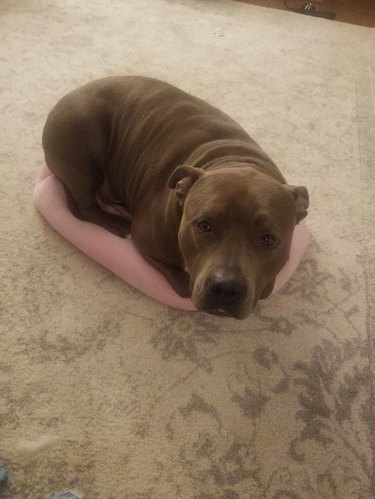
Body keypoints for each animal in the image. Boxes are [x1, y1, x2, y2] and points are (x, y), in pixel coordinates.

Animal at [42, 77, 310, 320]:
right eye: (204, 225)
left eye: (268, 239)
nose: (226, 287)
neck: (234, 159)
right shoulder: (145, 241)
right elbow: (181, 283)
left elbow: (267, 286)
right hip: (82, 140)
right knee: (84, 207)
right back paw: (115, 221)